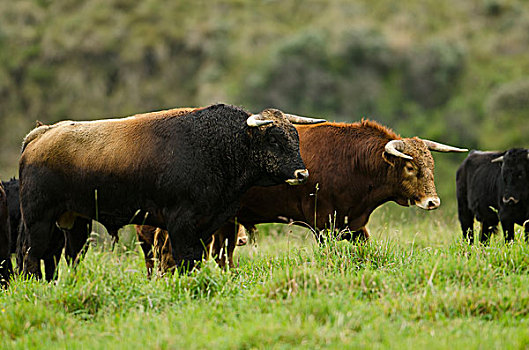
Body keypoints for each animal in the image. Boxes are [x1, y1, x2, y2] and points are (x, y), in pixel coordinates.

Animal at [18, 103, 322, 278]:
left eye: (295, 137)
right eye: (274, 140)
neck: (216, 146)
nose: (302, 174)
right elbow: (184, 260)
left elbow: (196, 259)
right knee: (33, 257)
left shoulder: (206, 225)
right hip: (39, 221)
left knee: (67, 257)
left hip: (75, 222)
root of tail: (41, 134)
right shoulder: (180, 223)